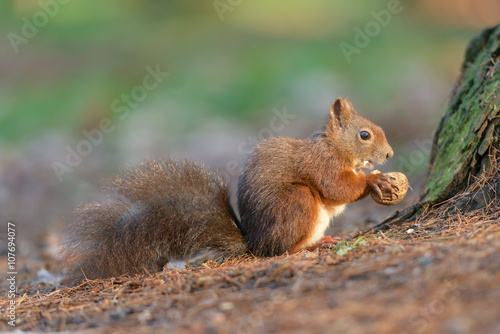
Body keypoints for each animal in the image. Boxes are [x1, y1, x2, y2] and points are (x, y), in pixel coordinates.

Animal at [61, 98, 394, 284]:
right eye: (364, 135)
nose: (390, 154)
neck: (334, 147)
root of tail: (254, 243)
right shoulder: (321, 165)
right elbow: (338, 187)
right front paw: (373, 181)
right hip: (297, 202)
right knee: (281, 250)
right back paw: (306, 248)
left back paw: (324, 239)